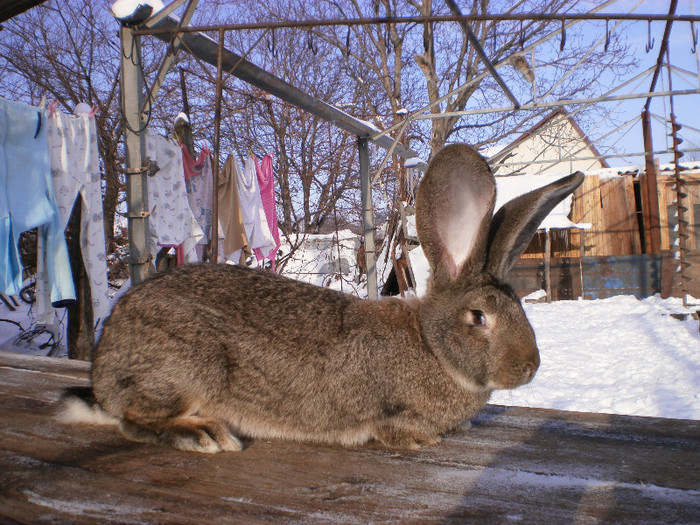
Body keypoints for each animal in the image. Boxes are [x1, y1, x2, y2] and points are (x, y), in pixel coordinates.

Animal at [61, 143, 584, 450]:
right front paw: (423, 440)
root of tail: (104, 366)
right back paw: (203, 433)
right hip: (189, 366)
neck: (431, 346)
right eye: (478, 317)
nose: (529, 367)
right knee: (134, 416)